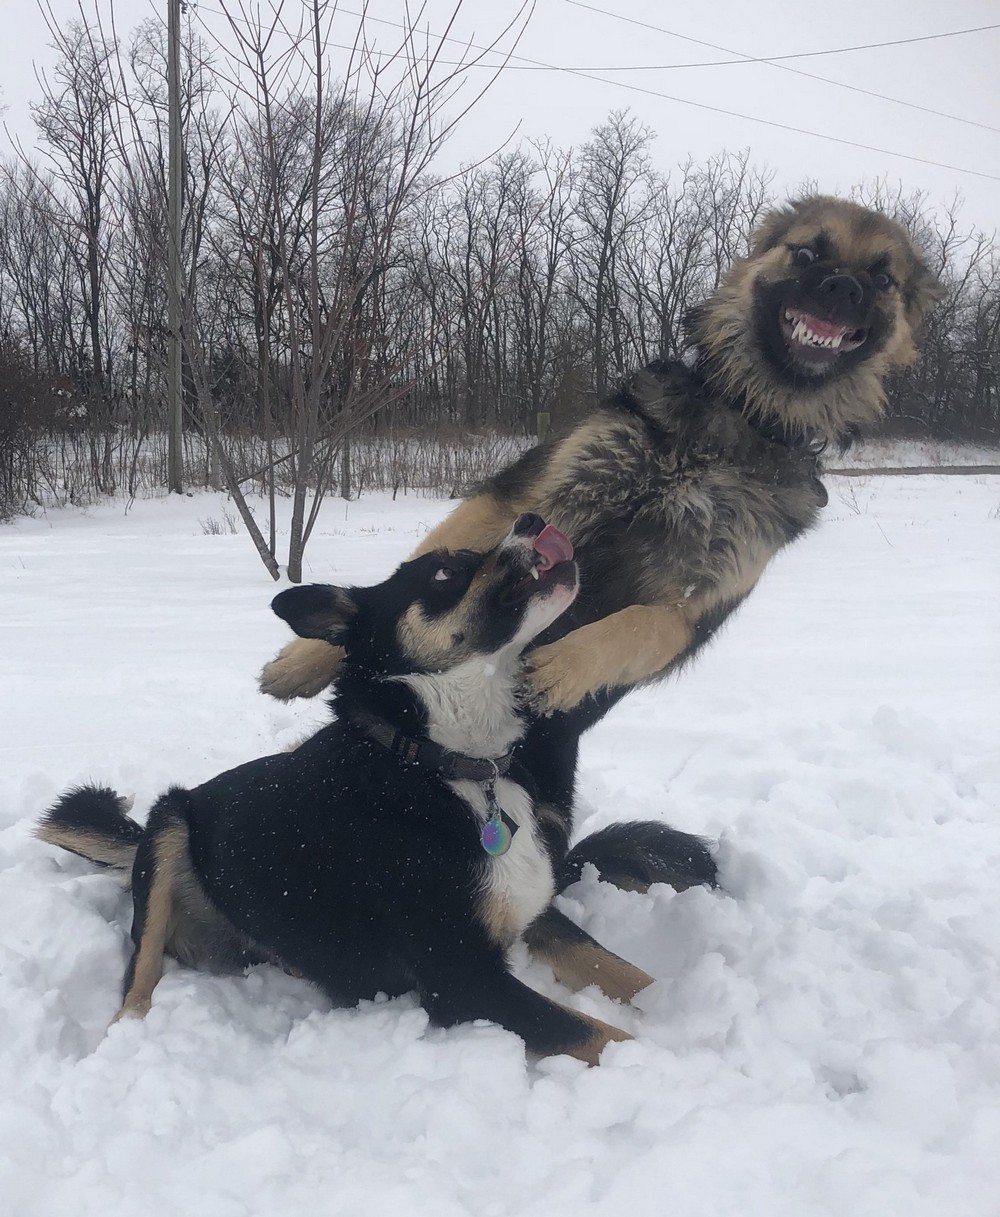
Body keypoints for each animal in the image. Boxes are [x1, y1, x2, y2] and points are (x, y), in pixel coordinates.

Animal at [262, 197, 944, 905]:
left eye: (883, 277)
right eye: (808, 252)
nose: (842, 287)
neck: (738, 424)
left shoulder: (691, 605)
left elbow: (637, 625)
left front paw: (564, 667)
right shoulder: (535, 493)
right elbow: (429, 561)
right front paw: (307, 658)